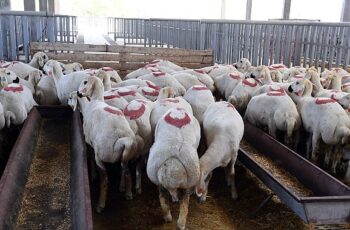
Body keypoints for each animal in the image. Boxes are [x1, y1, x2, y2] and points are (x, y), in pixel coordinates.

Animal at [69, 76, 138, 212]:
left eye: (85, 82)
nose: (78, 93)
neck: (94, 102)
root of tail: (122, 137)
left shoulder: (89, 144)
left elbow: (90, 158)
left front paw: (93, 175)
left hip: (101, 156)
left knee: (105, 179)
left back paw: (100, 204)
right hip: (126, 155)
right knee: (126, 171)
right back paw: (127, 193)